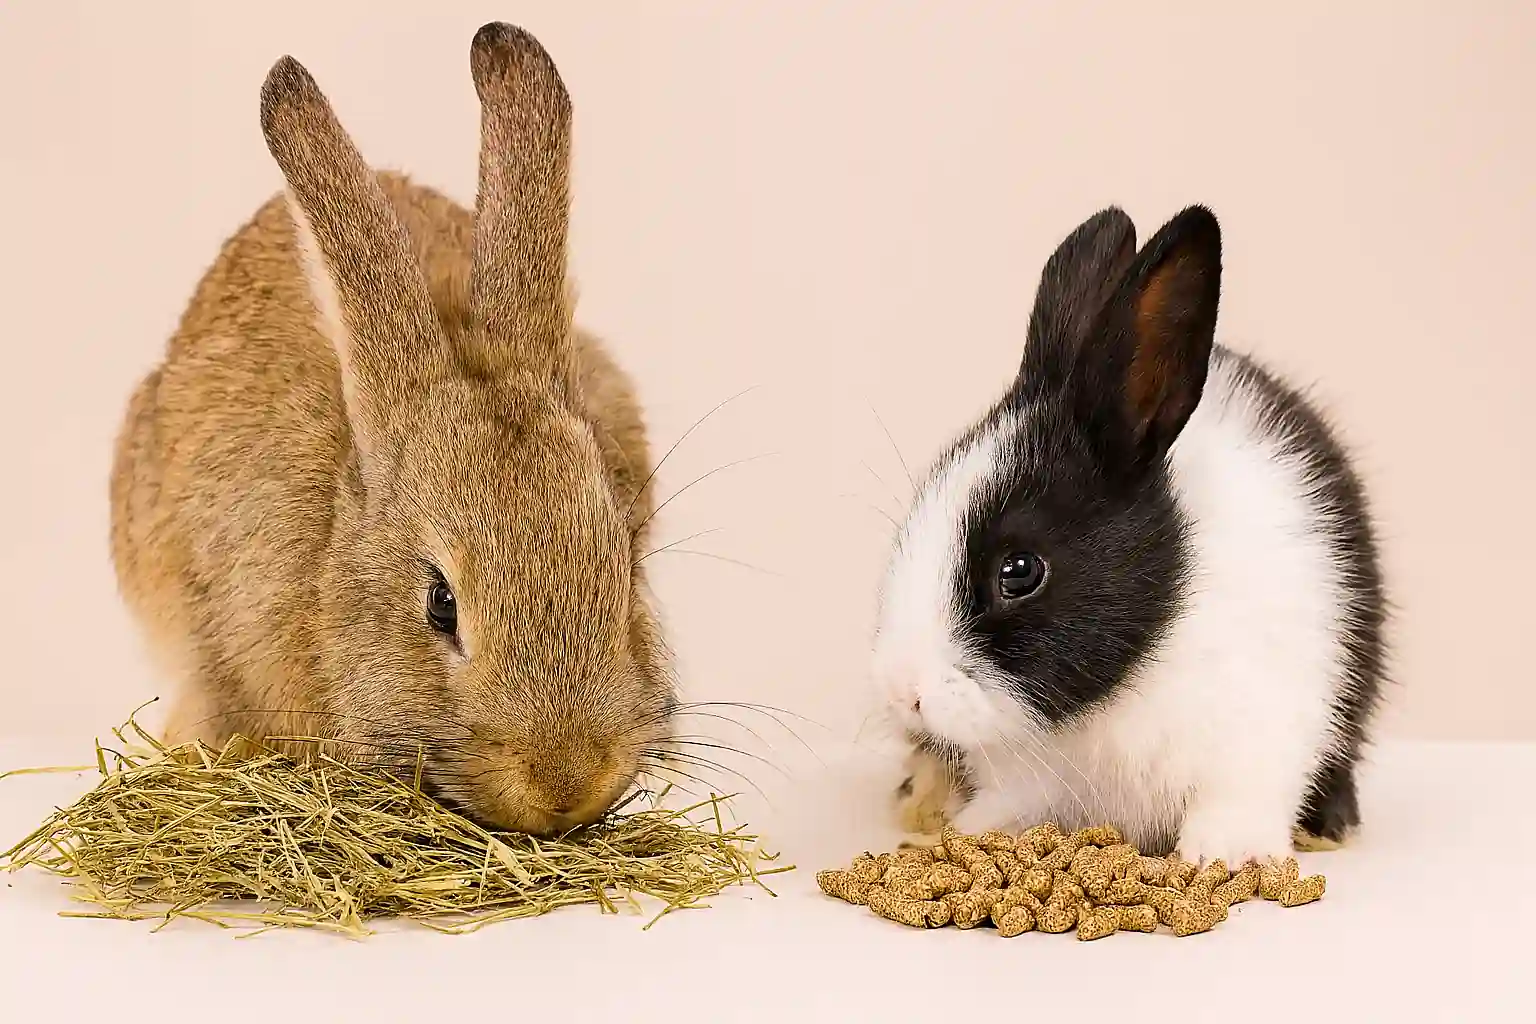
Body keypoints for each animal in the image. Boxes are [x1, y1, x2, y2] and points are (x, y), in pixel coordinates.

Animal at [869, 205, 1387, 866]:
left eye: (1019, 571)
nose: (900, 690)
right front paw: (968, 836)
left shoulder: (1261, 732)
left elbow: (1238, 802)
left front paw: (1225, 856)